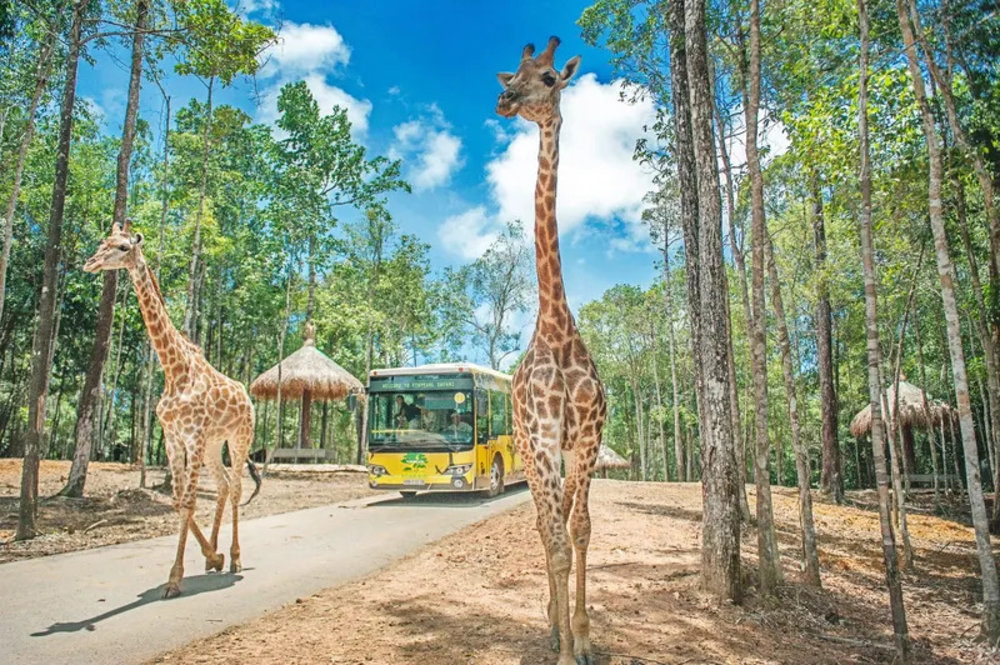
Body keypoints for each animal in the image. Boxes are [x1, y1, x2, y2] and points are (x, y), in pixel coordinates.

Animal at [84, 221, 259, 598]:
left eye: (123, 247)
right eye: (103, 241)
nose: (90, 263)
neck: (173, 369)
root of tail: (248, 397)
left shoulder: (192, 437)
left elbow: (189, 501)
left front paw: (175, 578)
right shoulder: (173, 438)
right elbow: (180, 500)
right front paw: (210, 556)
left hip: (239, 438)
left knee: (237, 488)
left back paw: (237, 558)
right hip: (213, 444)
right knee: (224, 485)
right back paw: (218, 555)